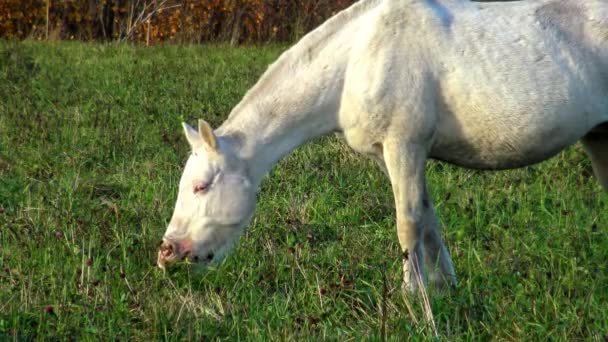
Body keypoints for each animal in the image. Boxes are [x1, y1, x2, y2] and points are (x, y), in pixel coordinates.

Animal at [158, 0, 608, 292]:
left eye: (201, 186)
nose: (167, 252)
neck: (358, 56)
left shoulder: (404, 146)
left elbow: (407, 225)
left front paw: (416, 303)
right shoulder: (391, 156)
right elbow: (427, 220)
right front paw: (445, 290)